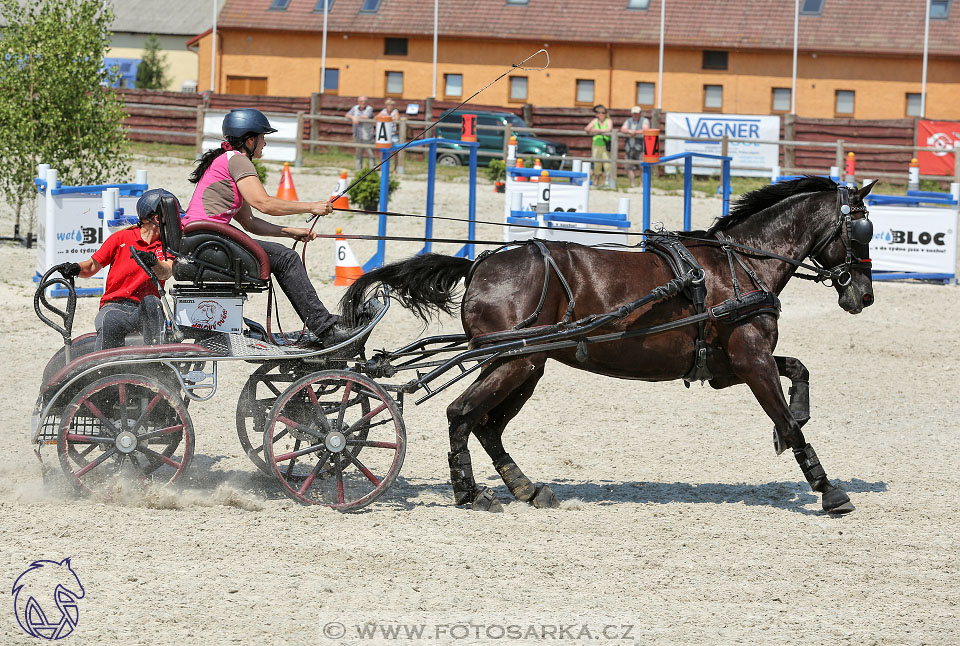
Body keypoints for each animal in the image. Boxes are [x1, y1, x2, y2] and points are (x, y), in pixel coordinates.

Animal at [344, 177, 876, 516]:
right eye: (862, 230)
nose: (864, 296)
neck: (738, 266)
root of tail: (480, 264)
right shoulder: (751, 360)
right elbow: (788, 420)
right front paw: (828, 489)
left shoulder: (731, 367)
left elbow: (799, 373)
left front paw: (798, 418)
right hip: (514, 361)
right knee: (462, 415)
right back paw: (470, 493)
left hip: (523, 364)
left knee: (486, 425)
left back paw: (525, 488)